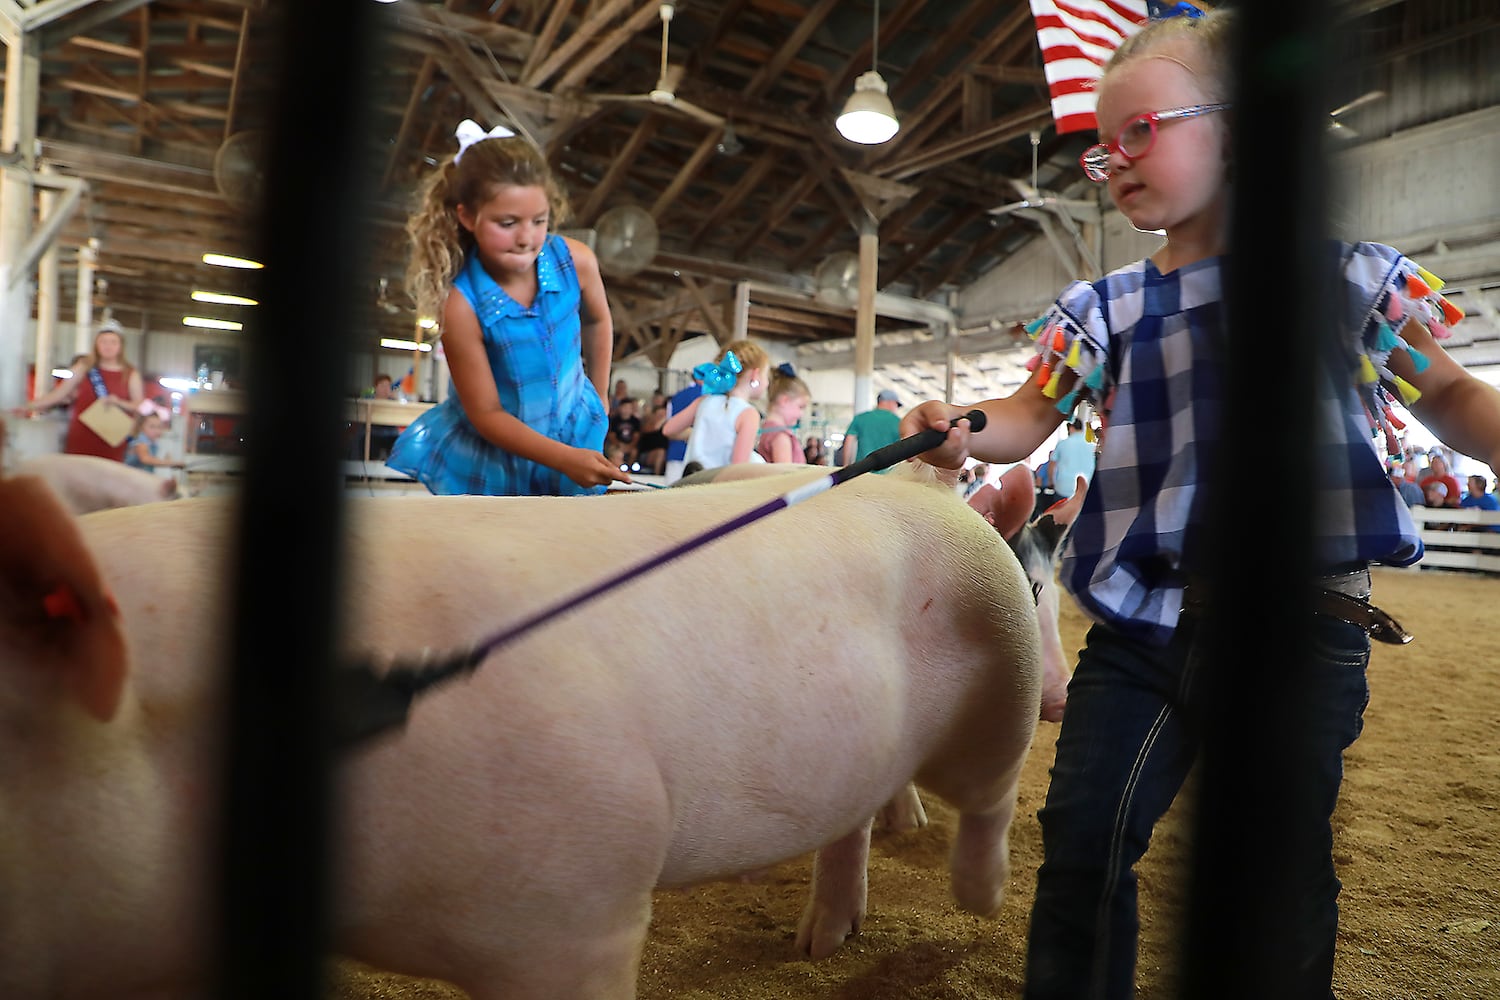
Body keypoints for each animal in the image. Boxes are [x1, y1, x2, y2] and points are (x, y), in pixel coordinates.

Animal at [0, 470, 1038, 1000]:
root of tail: (932, 483)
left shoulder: (581, 900)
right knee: (848, 820)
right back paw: (820, 945)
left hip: (1007, 665)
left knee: (991, 792)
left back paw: (980, 901)